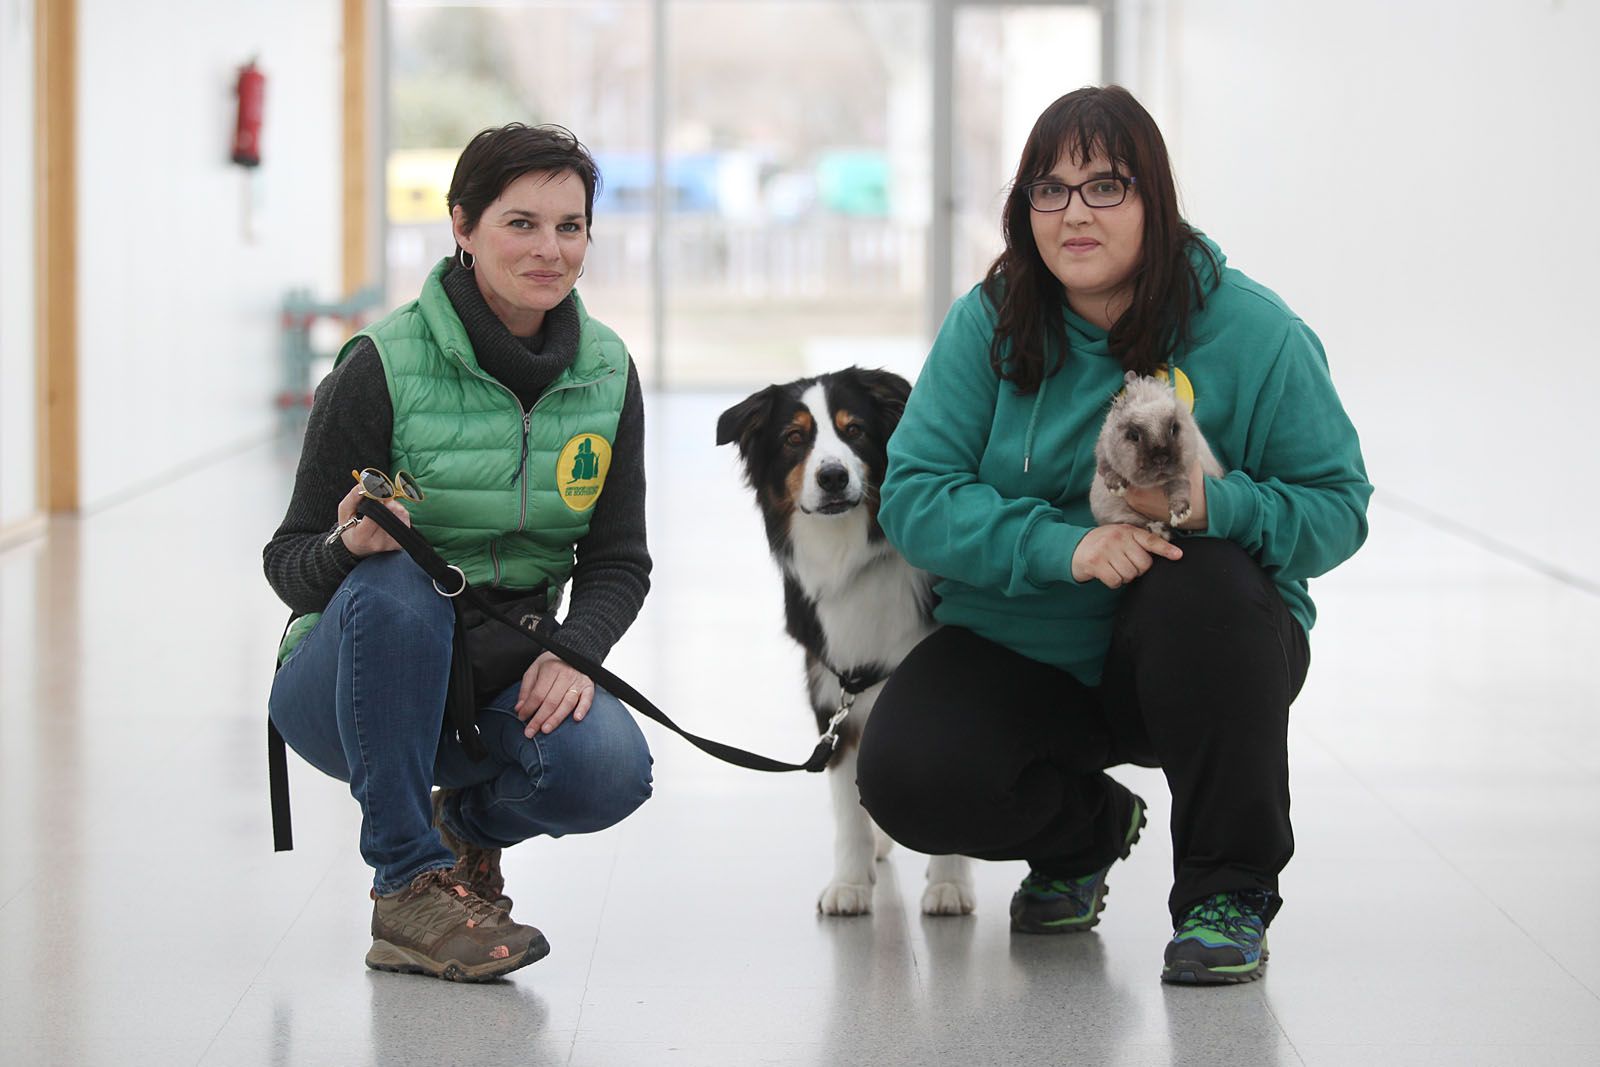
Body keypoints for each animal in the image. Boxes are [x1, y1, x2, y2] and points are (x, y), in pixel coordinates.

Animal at [716, 369, 972, 921]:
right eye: (794, 439)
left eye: (854, 430)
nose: (832, 477)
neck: (851, 553)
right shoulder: (833, 689)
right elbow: (846, 807)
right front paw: (851, 884)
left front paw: (949, 884)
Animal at [1088, 371, 1222, 537]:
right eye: (1133, 435)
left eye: (1174, 428)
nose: (1161, 459)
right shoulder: (1102, 451)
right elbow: (1108, 468)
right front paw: (1116, 486)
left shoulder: (1184, 470)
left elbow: (1179, 486)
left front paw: (1180, 514)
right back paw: (1158, 530)